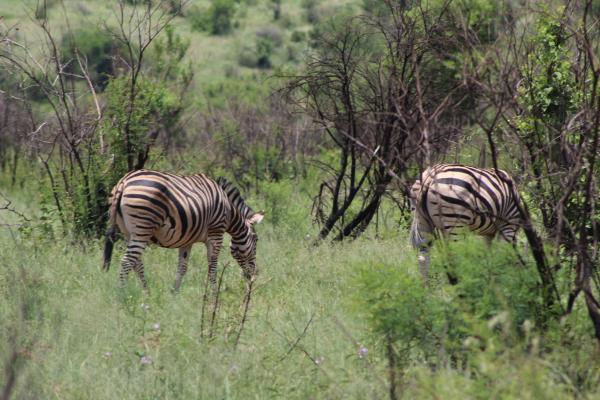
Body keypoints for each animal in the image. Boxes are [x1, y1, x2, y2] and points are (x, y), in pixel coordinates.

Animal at [102, 167, 264, 292]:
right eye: (256, 240)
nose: (254, 275)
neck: (228, 211)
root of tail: (124, 182)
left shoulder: (187, 240)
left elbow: (182, 267)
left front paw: (175, 292)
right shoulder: (216, 233)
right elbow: (212, 266)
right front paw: (213, 295)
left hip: (128, 232)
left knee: (137, 263)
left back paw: (146, 293)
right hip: (142, 228)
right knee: (127, 261)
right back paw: (122, 295)